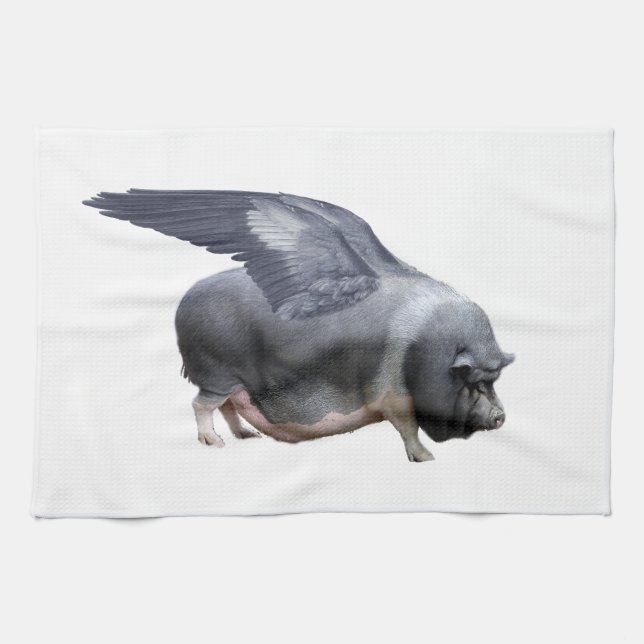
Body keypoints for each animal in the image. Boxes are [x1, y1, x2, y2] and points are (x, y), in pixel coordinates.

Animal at [84, 189, 514, 461]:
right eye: (473, 381)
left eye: (493, 381)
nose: (501, 416)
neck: (422, 351)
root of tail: (180, 305)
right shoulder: (391, 394)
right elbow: (407, 428)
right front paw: (426, 459)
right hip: (216, 372)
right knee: (201, 404)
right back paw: (215, 444)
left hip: (232, 381)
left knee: (228, 406)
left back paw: (247, 437)